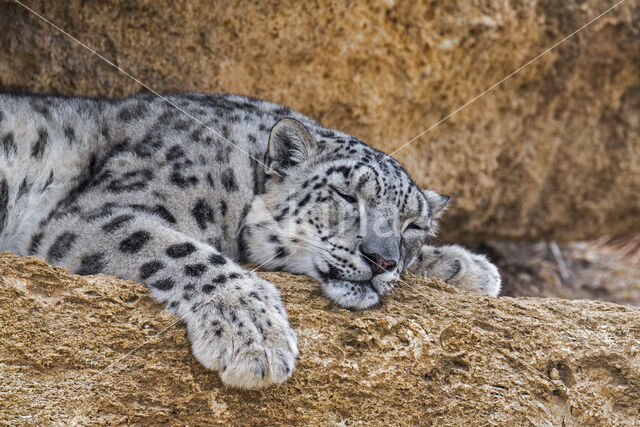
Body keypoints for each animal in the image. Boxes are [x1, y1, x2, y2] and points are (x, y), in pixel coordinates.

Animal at [0, 92, 500, 390]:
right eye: (345, 195)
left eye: (413, 226)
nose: (381, 260)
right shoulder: (97, 211)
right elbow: (178, 249)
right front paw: (254, 336)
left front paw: (470, 269)